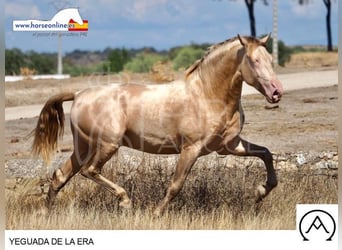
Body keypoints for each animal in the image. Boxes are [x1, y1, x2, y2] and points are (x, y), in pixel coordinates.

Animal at [32, 34, 284, 216]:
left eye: (271, 60)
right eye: (254, 60)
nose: (276, 92)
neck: (206, 95)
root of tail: (78, 94)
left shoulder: (228, 146)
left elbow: (266, 154)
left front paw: (260, 192)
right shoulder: (191, 149)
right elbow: (176, 184)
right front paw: (156, 213)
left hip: (83, 147)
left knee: (60, 175)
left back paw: (45, 213)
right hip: (107, 145)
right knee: (89, 170)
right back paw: (125, 202)